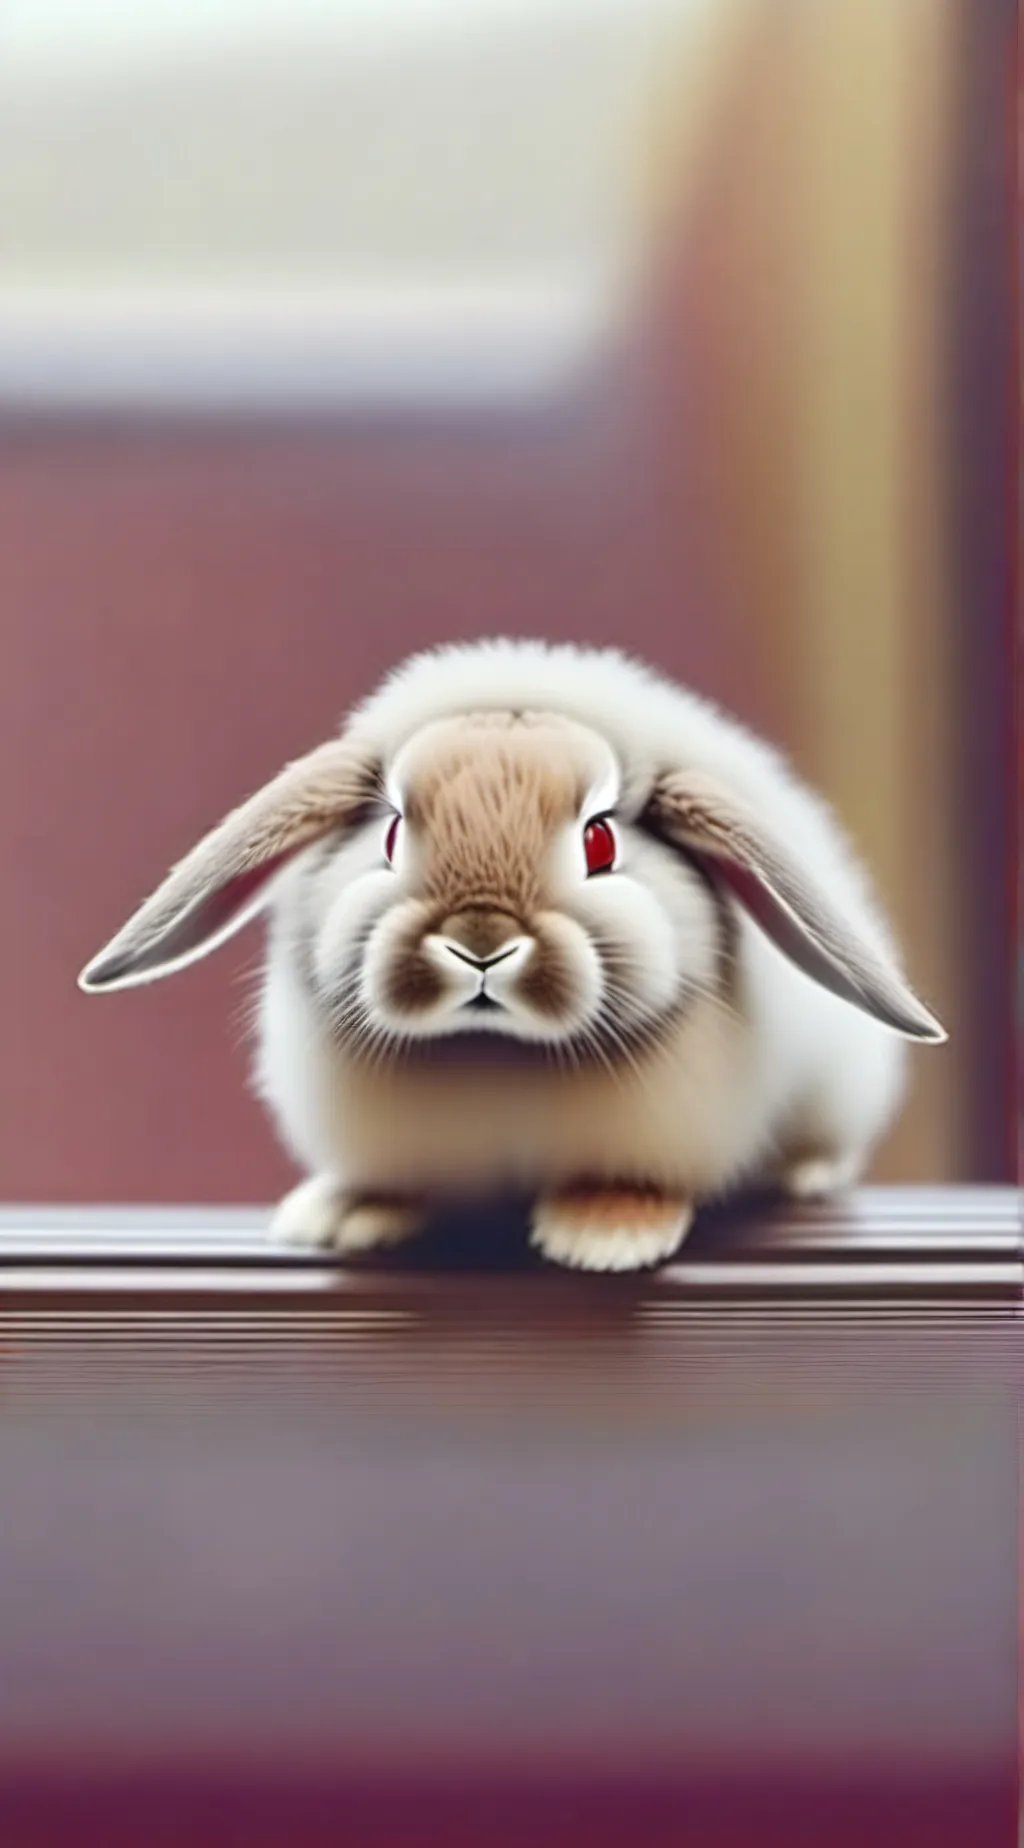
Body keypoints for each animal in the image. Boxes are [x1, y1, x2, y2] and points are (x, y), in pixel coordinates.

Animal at [79, 638, 945, 1272]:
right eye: (390, 834)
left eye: (600, 842)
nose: (481, 943)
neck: (496, 1050)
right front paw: (343, 1217)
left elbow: (631, 1183)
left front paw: (604, 1239)